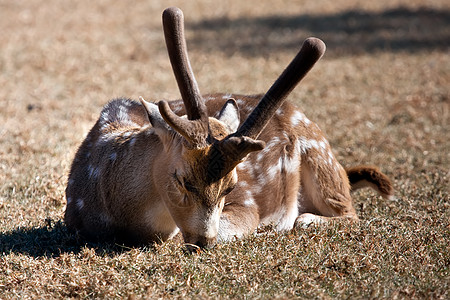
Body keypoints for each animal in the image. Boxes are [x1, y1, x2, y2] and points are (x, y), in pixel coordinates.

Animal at [65, 7, 392, 251]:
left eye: (231, 186)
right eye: (182, 180)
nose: (202, 242)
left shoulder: (247, 205)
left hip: (320, 155)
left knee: (344, 214)